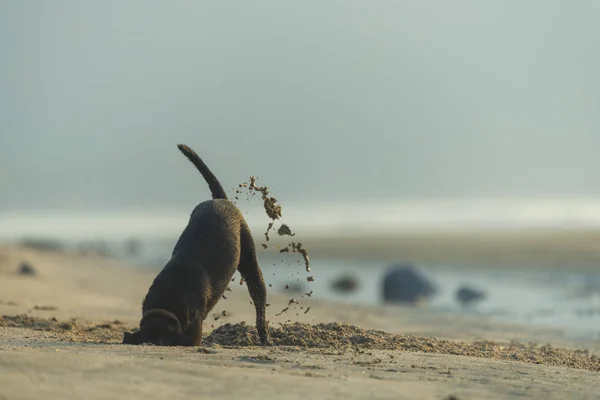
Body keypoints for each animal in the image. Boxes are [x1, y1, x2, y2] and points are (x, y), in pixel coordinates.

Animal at [121, 145, 270, 346]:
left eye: (160, 342)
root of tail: (221, 200)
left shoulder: (195, 326)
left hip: (249, 261)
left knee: (259, 299)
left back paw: (265, 337)